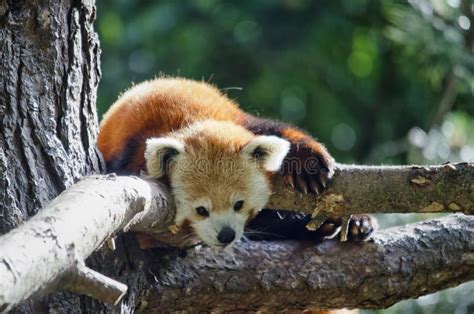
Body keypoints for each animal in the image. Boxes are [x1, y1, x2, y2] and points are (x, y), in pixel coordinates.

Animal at [98, 76, 376, 248]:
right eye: (200, 210)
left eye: (240, 204)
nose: (227, 235)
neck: (188, 123)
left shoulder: (239, 123)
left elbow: (279, 131)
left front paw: (308, 165)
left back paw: (356, 223)